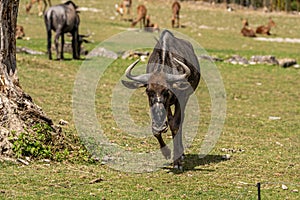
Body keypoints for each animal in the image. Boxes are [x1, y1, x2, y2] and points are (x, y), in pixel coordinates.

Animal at [122, 30, 202, 169]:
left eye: (167, 91)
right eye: (148, 91)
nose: (160, 126)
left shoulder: (181, 99)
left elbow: (175, 125)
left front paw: (177, 161)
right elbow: (157, 129)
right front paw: (166, 152)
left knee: (179, 121)